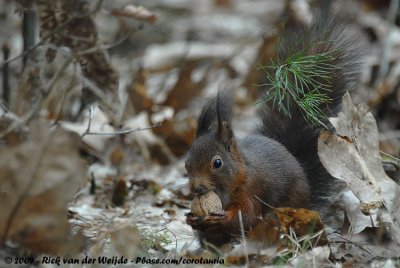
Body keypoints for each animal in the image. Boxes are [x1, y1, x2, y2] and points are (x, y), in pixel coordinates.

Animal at [184, 17, 362, 246]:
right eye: (186, 164)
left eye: (217, 163)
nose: (197, 189)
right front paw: (191, 218)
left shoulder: (251, 189)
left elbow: (246, 216)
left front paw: (221, 217)